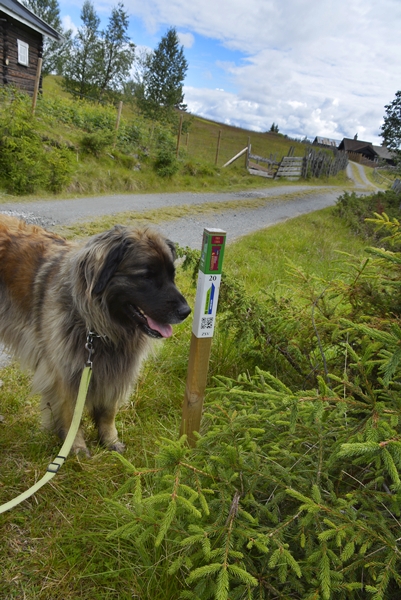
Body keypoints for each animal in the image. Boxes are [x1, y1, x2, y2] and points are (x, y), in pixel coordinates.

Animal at [0, 216, 191, 454]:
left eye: (172, 275)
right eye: (146, 276)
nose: (186, 311)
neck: (97, 326)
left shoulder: (114, 370)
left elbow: (109, 410)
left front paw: (109, 440)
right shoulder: (66, 374)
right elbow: (72, 414)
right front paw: (76, 447)